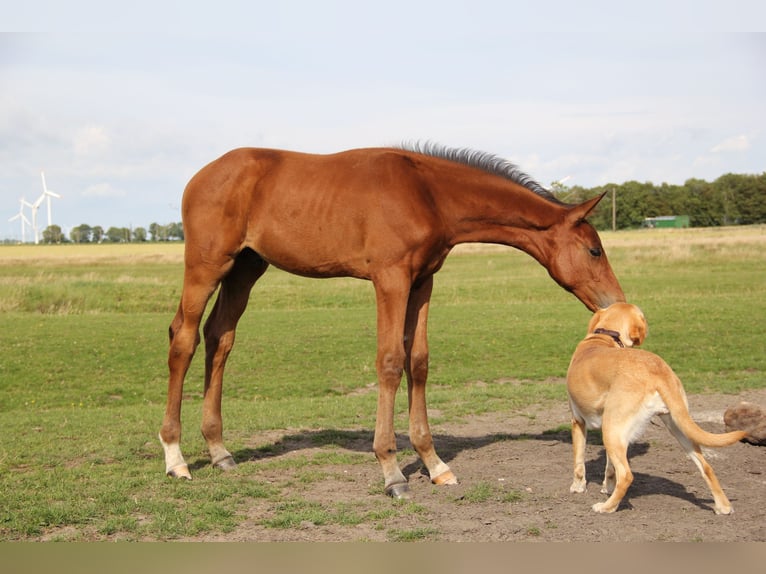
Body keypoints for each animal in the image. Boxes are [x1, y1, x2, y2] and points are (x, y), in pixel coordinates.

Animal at [159, 142, 626, 498]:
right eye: (594, 250)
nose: (615, 302)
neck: (427, 194)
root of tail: (200, 176)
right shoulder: (391, 279)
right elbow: (388, 362)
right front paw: (391, 471)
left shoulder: (422, 282)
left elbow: (417, 362)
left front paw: (435, 464)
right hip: (206, 265)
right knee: (184, 339)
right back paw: (176, 458)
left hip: (246, 268)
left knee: (219, 337)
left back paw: (219, 451)